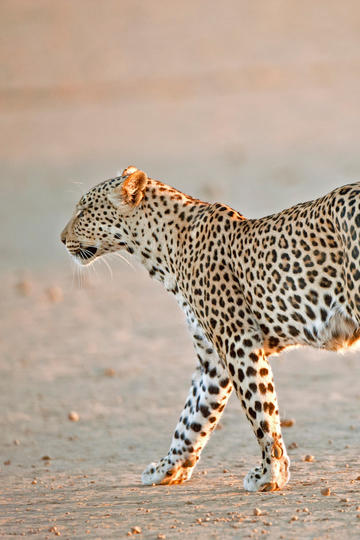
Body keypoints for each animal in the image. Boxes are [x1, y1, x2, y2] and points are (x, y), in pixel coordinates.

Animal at [61, 167, 360, 492]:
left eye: (83, 211)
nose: (62, 239)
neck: (162, 252)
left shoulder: (238, 343)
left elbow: (261, 411)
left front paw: (270, 474)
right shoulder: (212, 361)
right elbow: (192, 418)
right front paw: (167, 468)